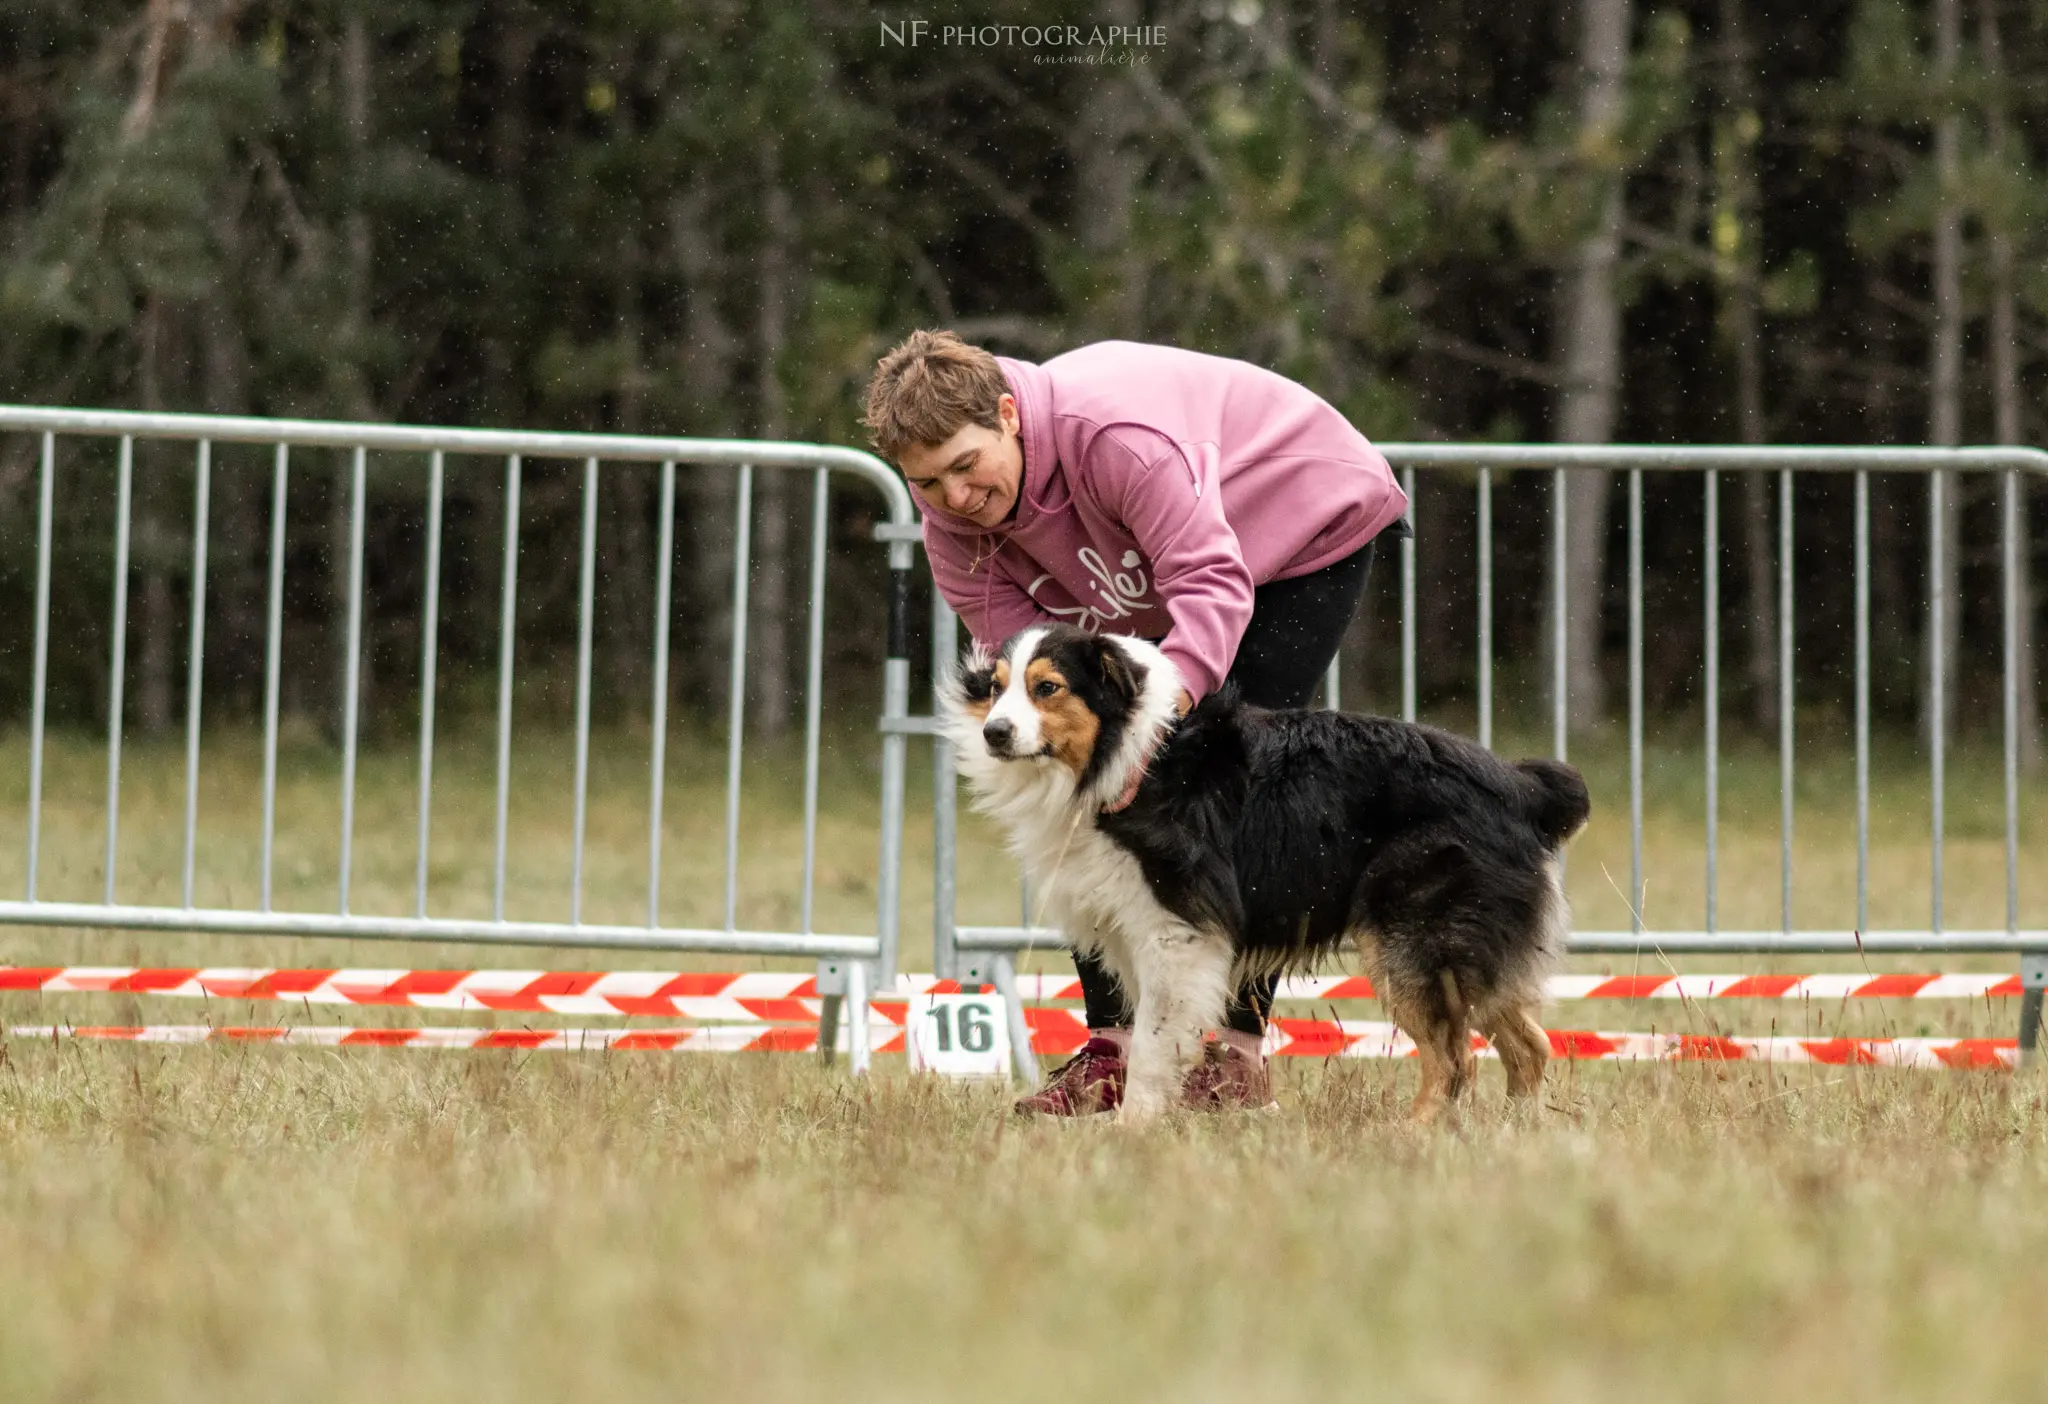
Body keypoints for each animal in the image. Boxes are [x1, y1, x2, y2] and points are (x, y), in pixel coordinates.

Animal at [946, 626, 1597, 1121]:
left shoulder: (1177, 932)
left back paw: (1413, 1136)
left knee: (1455, 1059)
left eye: (1047, 688)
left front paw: (1134, 1128)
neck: (1127, 755)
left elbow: (1156, 1042)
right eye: (997, 689)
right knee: (1529, 1045)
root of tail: (1521, 786)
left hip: (1411, 943)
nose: (994, 732)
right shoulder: (1125, 926)